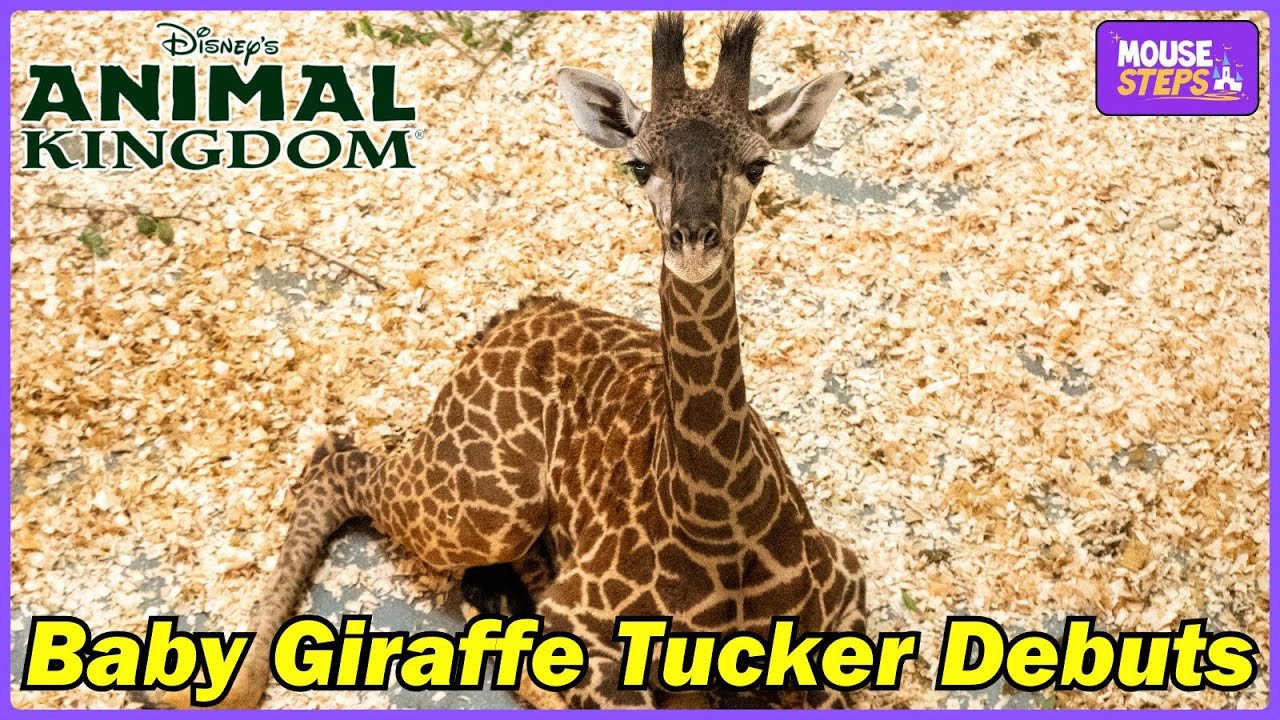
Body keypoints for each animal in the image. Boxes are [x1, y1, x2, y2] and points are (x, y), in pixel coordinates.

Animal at [137, 12, 867, 710]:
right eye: (639, 165)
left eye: (757, 165)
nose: (694, 240)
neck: (720, 520)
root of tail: (503, 321)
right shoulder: (590, 629)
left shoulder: (846, 589)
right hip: (489, 508)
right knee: (338, 467)